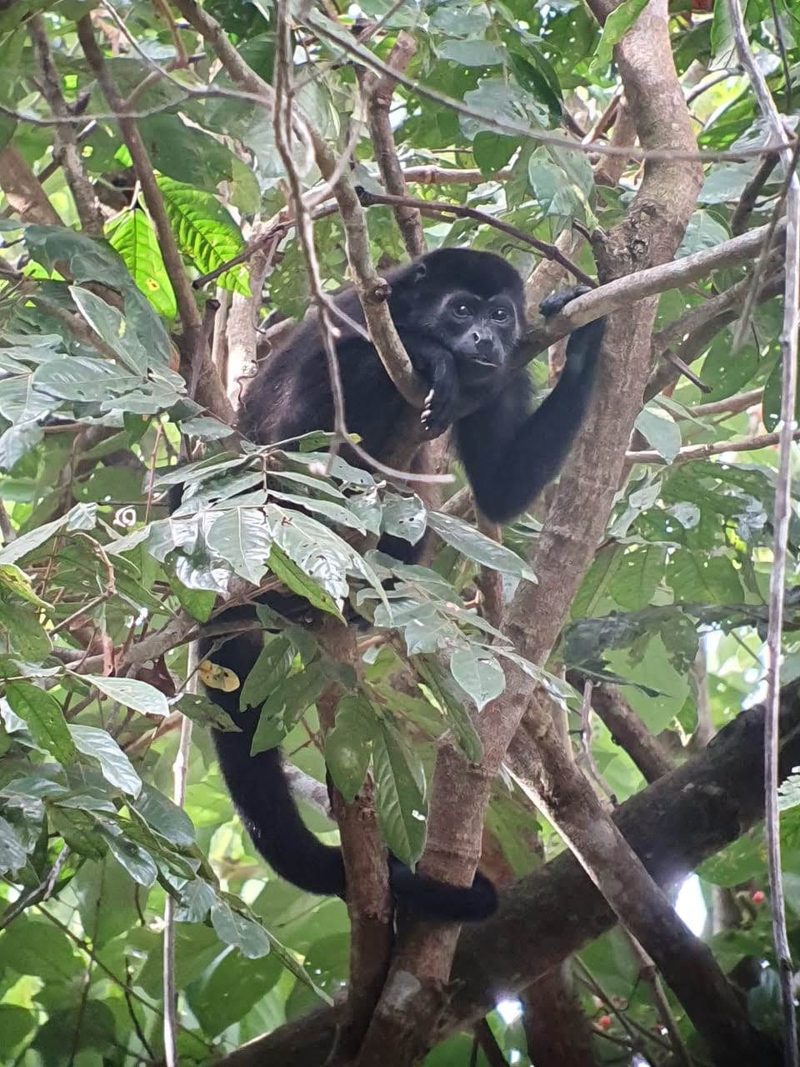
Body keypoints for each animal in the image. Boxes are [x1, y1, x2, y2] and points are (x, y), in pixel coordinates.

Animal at [198, 248, 605, 921]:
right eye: (461, 309)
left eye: (500, 315)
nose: (485, 337)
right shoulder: (346, 308)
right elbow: (310, 396)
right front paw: (426, 352)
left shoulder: (504, 376)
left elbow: (499, 487)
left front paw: (585, 332)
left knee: (412, 493)